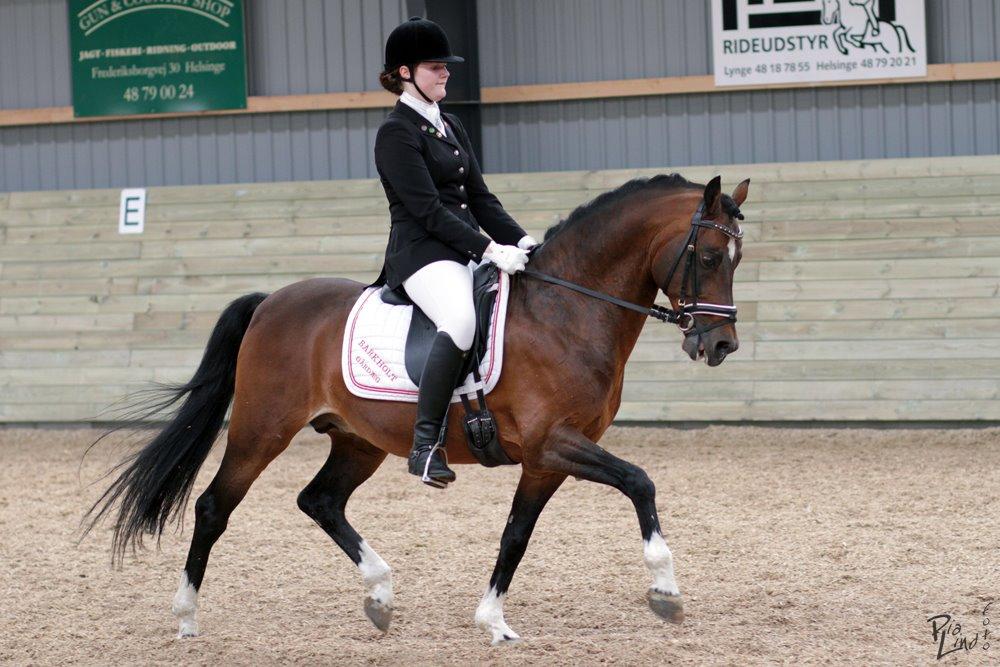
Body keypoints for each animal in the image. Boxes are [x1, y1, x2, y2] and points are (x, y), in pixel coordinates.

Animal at [83, 173, 750, 644]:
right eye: (709, 257)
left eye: (736, 259)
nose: (720, 346)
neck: (566, 311)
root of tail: (272, 300)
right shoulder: (554, 442)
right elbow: (641, 481)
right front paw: (665, 591)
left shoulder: (546, 459)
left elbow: (516, 534)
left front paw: (493, 621)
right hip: (260, 430)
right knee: (214, 506)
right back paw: (186, 617)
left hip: (359, 440)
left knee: (320, 500)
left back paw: (379, 595)